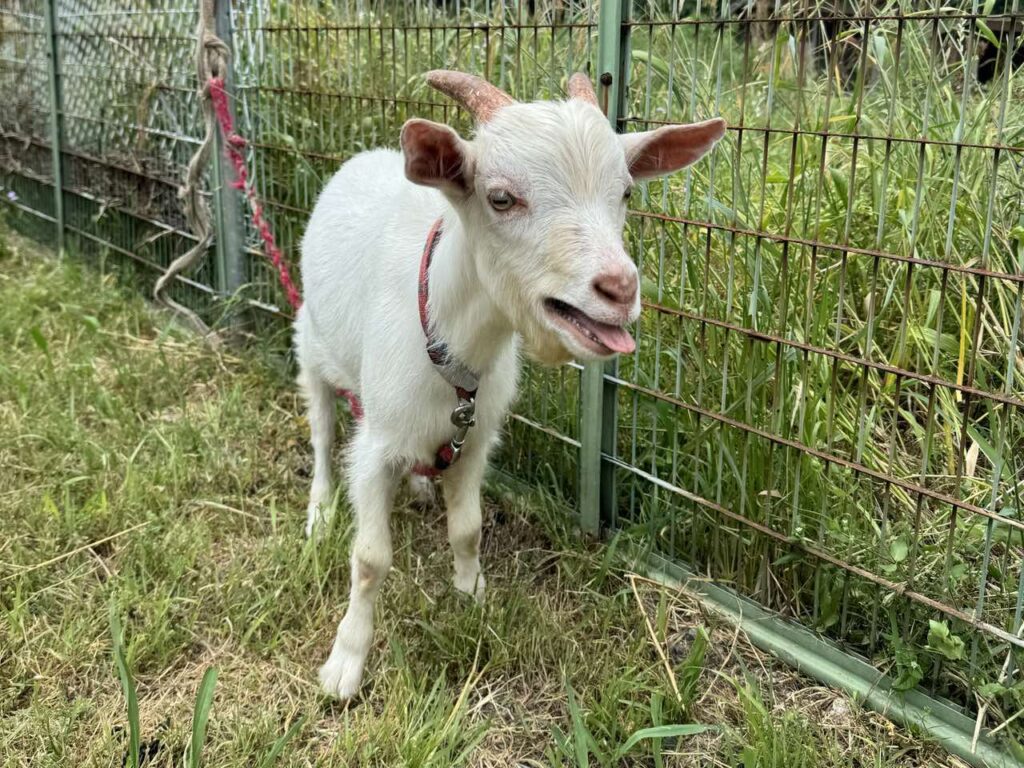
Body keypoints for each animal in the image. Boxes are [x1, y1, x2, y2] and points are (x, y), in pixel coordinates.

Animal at [294, 69, 729, 700]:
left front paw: (471, 595)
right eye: (501, 198)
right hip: (309, 344)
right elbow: (371, 558)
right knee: (325, 437)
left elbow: (469, 529)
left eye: (625, 193)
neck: (448, 340)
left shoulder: (476, 438)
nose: (620, 288)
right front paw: (345, 663)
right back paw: (321, 512)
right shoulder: (376, 443)